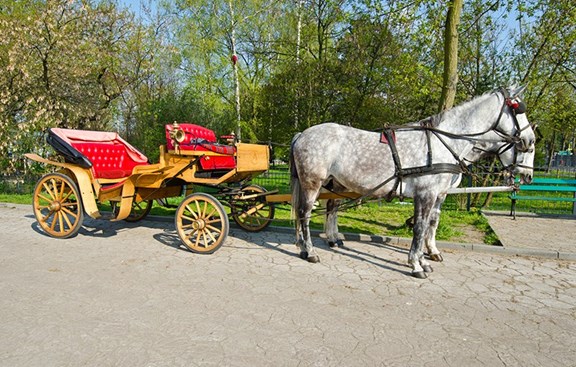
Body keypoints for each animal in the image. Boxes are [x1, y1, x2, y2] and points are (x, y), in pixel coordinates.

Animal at [290, 87, 536, 280]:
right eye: (518, 109)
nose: (529, 139)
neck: (444, 143)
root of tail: (302, 134)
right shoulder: (426, 194)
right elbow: (420, 227)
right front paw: (417, 264)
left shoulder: (437, 194)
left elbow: (429, 224)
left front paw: (425, 259)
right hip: (313, 183)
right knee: (305, 213)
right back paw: (310, 251)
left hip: (331, 184)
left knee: (325, 210)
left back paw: (314, 244)